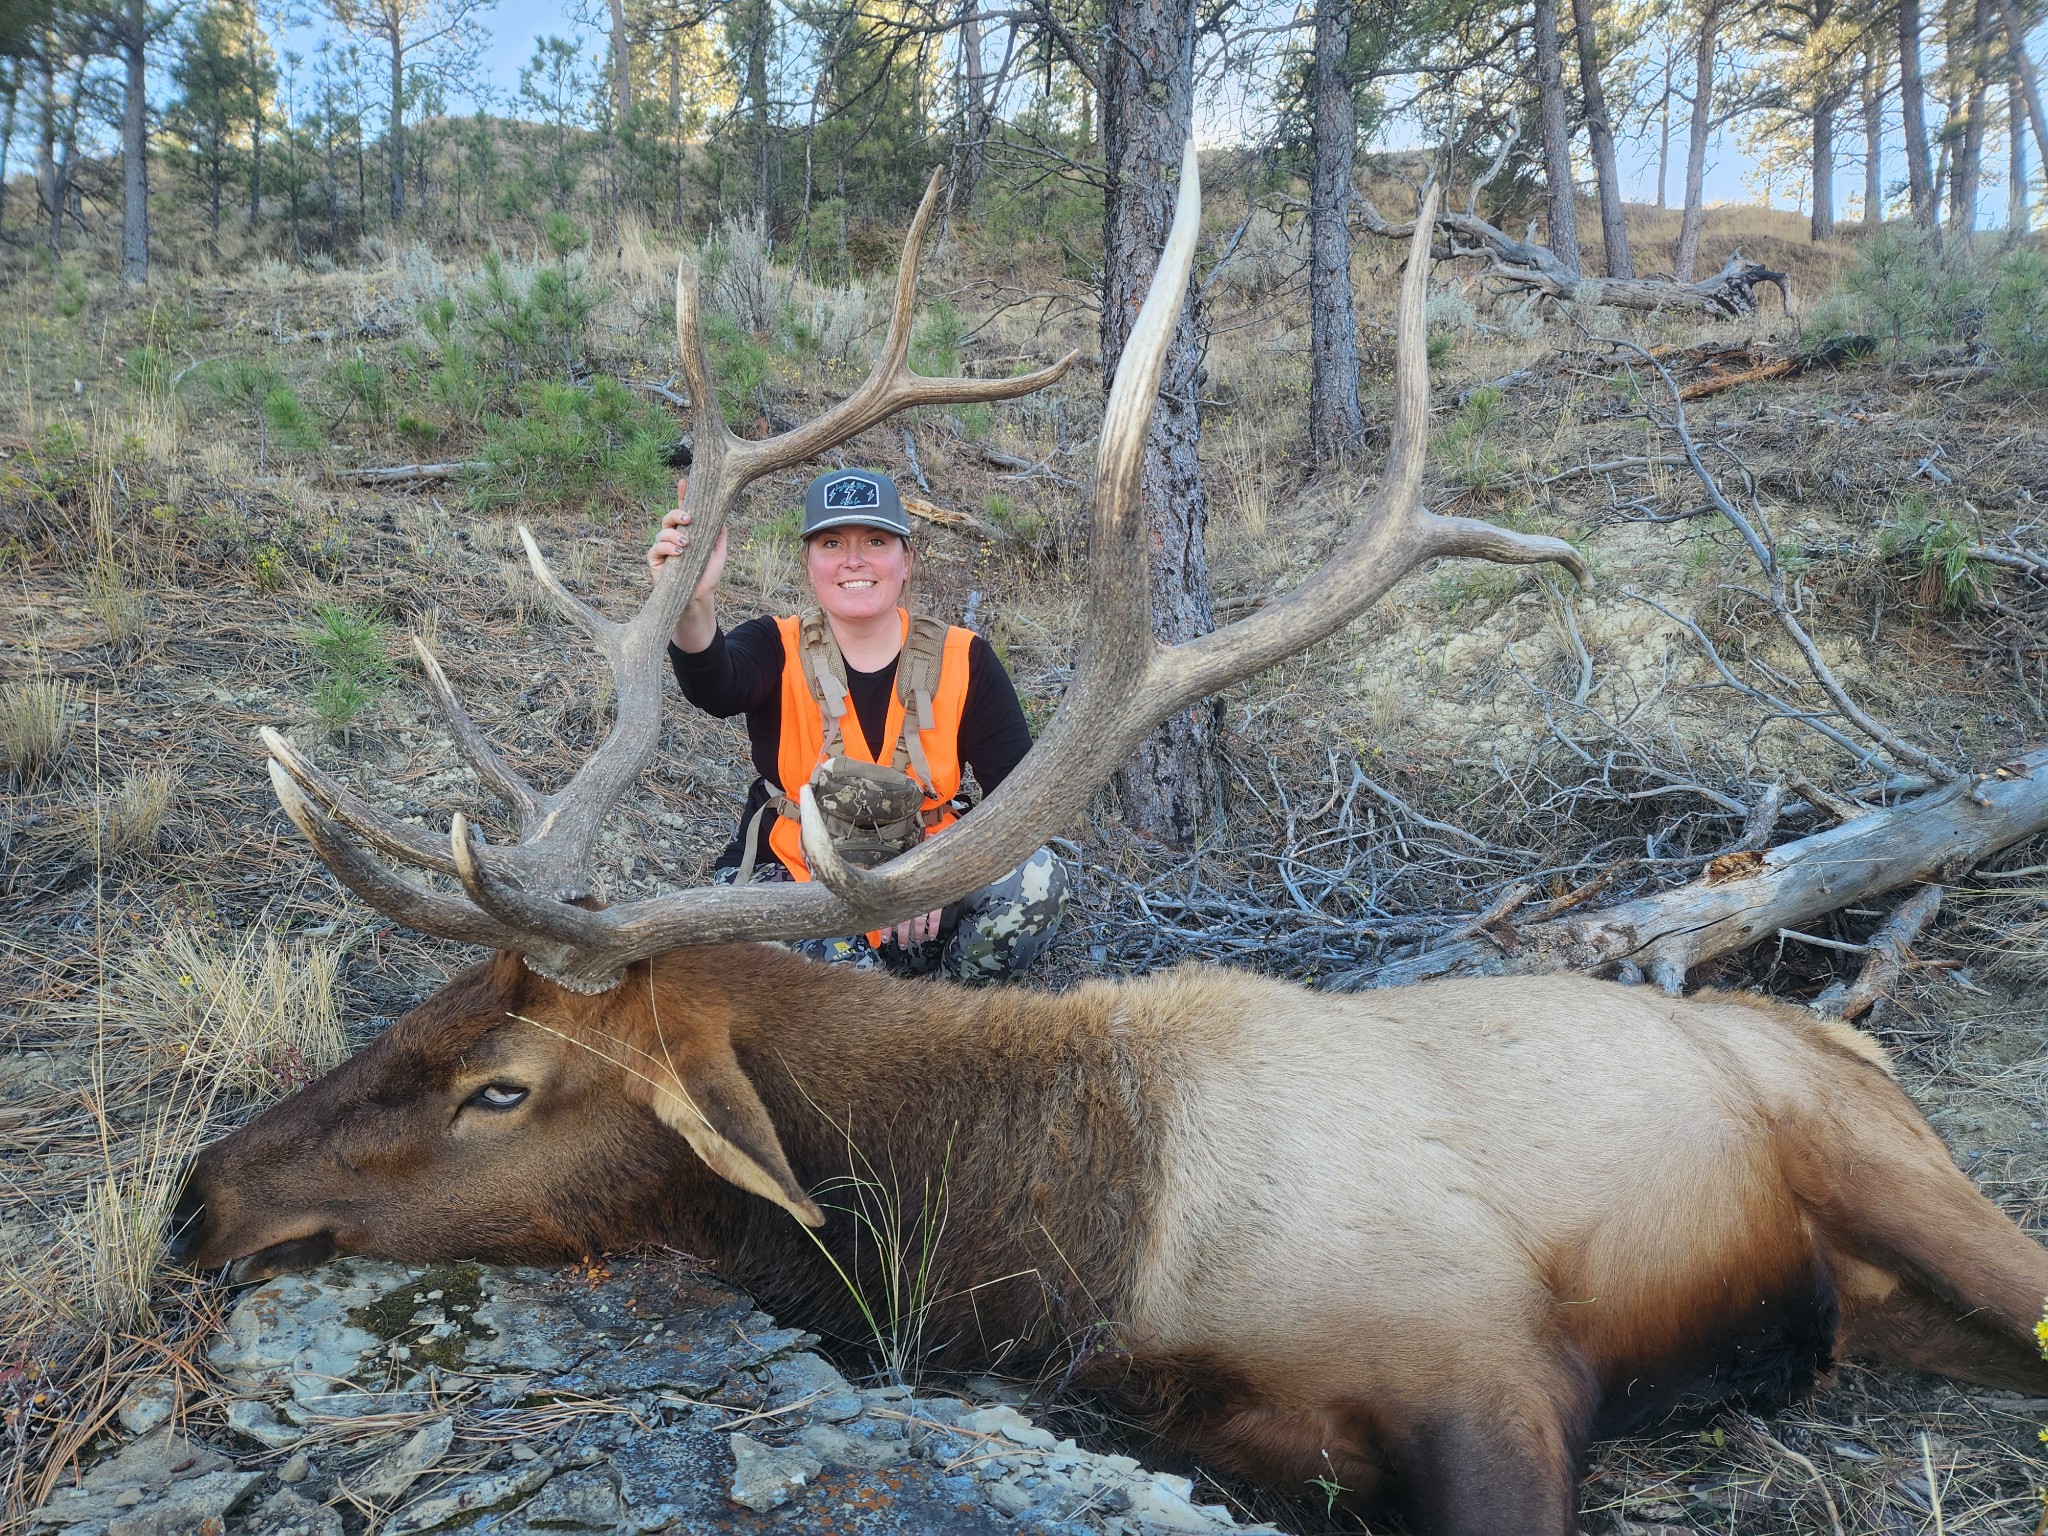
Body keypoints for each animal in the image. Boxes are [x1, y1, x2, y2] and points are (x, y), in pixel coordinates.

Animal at [172, 147, 2048, 1536]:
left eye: (504, 1085)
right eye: (417, 1013)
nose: (199, 1197)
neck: (1080, 1247)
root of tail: (1846, 1035)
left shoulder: (1490, 1368)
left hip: (1901, 1175)